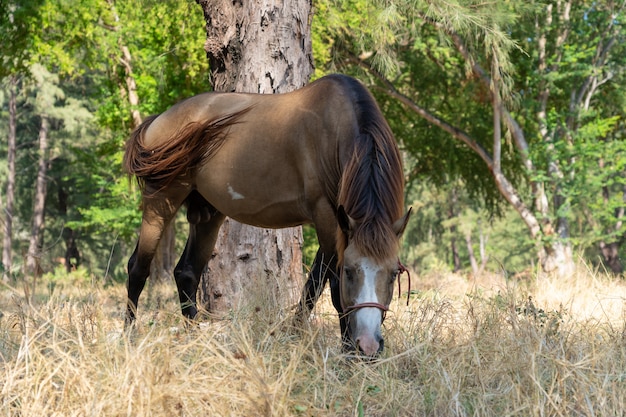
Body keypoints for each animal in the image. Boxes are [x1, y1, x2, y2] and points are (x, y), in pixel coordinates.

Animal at [124, 73, 412, 352]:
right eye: (350, 271)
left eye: (393, 273)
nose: (368, 345)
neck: (335, 127)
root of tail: (158, 120)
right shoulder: (326, 217)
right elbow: (333, 288)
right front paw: (347, 353)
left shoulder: (340, 226)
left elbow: (313, 286)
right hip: (161, 201)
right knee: (138, 268)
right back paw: (129, 338)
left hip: (208, 214)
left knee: (187, 273)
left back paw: (196, 343)